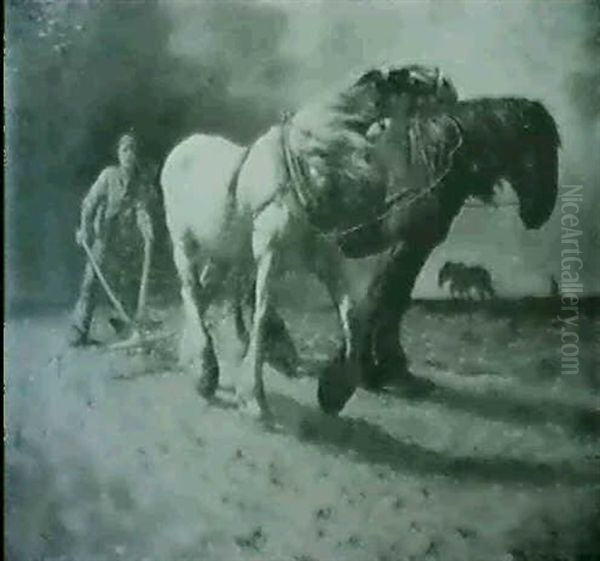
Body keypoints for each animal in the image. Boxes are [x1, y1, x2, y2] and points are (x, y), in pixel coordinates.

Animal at [162, 65, 458, 420]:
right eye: (409, 78)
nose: (449, 87)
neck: (310, 164)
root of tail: (181, 147)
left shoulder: (325, 259)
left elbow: (351, 313)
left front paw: (335, 389)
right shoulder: (270, 254)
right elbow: (262, 315)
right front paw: (254, 398)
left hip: (223, 254)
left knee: (202, 293)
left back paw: (194, 360)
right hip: (183, 245)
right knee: (191, 291)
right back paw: (205, 370)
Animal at [354, 96, 560, 392]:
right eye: (539, 147)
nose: (542, 212)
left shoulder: (416, 247)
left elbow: (395, 300)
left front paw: (392, 369)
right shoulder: (402, 246)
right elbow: (381, 298)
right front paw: (370, 372)